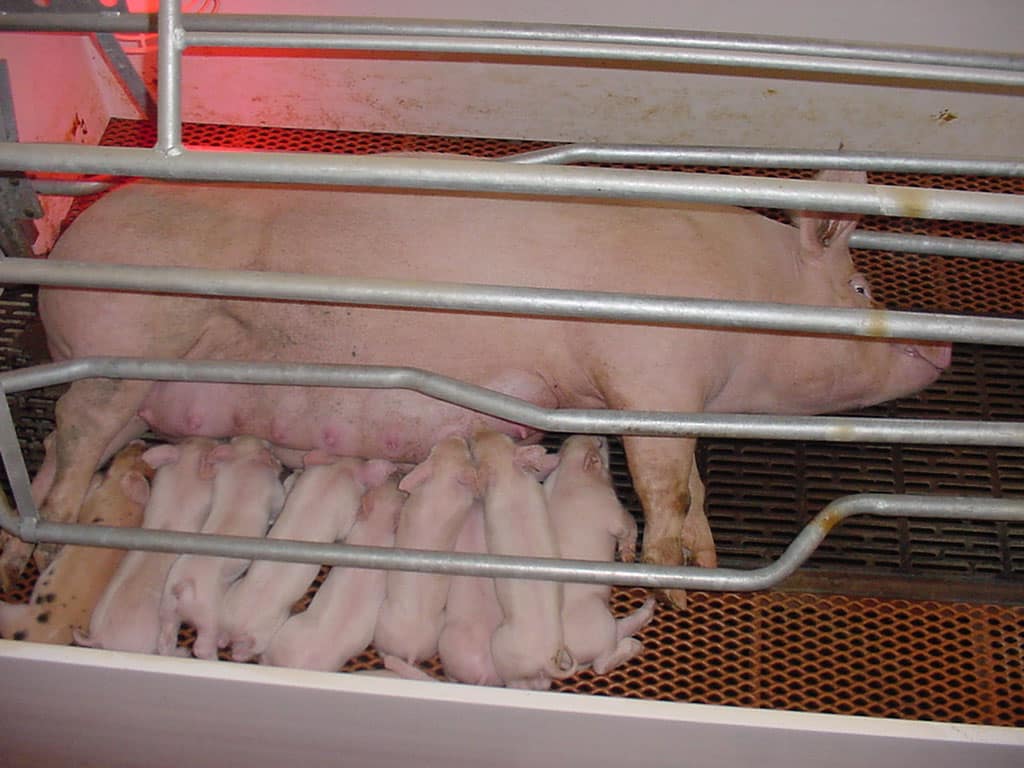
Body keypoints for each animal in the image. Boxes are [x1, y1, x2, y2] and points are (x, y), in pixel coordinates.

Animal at [0, 442, 150, 644]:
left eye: (134, 458)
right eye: (144, 462)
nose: (140, 443)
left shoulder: (95, 500)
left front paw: (95, 475)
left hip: (15, 614)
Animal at [25, 172, 952, 608]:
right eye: (862, 289)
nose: (943, 342)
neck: (739, 295)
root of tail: (63, 251)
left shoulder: (673, 401)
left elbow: (689, 481)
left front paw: (707, 562)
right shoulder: (645, 367)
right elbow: (660, 480)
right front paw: (663, 576)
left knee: (57, 447)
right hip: (123, 347)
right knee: (73, 434)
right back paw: (40, 545)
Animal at [156, 435, 284, 659]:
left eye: (234, 438)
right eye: (268, 447)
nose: (272, 447)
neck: (244, 461)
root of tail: (183, 586)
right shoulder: (275, 492)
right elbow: (279, 504)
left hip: (167, 606)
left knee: (165, 637)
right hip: (208, 613)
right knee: (202, 646)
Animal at [472, 431, 573, 690]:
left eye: (475, 451)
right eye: (505, 437)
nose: (477, 430)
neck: (508, 477)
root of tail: (545, 657)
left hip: (501, 646)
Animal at [545, 435, 656, 674]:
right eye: (599, 445)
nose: (603, 436)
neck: (568, 473)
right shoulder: (612, 510)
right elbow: (628, 526)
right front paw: (628, 556)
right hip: (600, 622)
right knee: (601, 664)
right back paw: (637, 641)